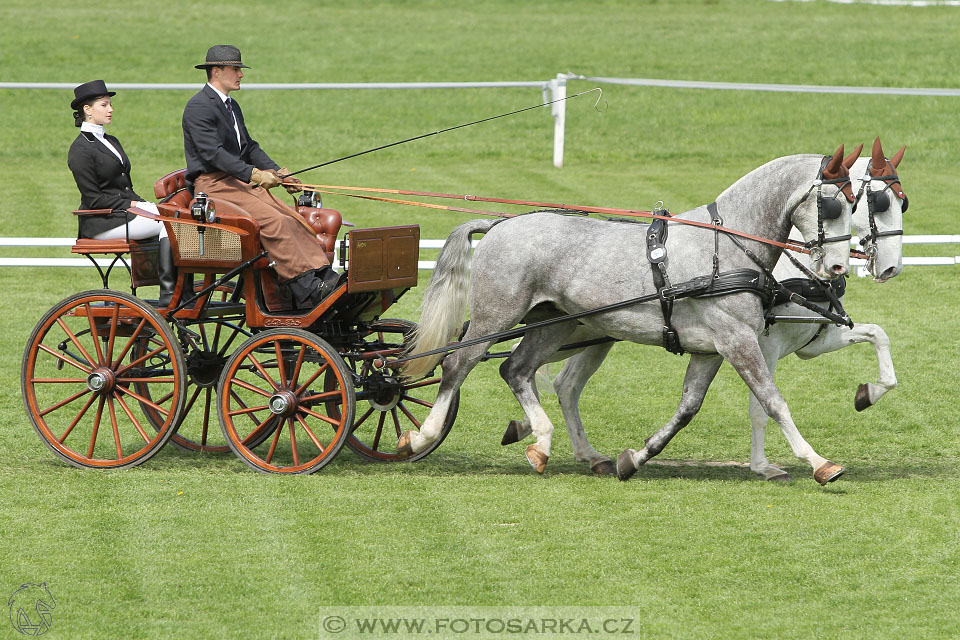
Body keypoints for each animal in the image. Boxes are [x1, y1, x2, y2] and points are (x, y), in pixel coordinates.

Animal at [398, 148, 856, 482]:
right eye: (833, 205)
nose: (838, 267)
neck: (724, 248)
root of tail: (498, 226)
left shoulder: (710, 350)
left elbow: (688, 408)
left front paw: (634, 458)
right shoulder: (736, 339)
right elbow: (773, 400)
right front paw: (819, 463)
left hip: (554, 323)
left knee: (516, 369)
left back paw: (543, 444)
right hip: (496, 317)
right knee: (458, 364)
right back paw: (421, 438)